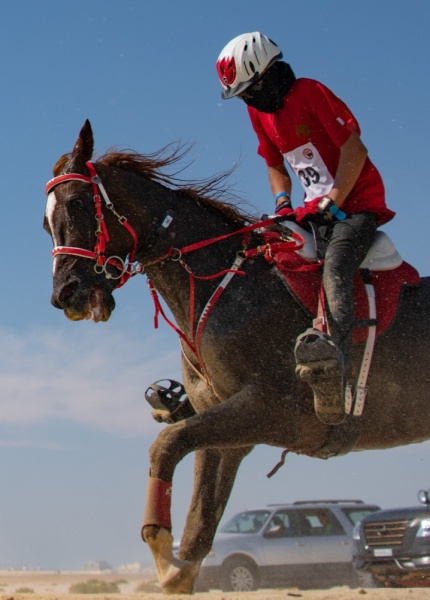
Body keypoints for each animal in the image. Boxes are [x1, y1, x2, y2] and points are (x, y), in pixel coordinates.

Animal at [43, 119, 430, 592]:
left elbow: (164, 446)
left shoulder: (271, 412)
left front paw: (161, 546)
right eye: (45, 225)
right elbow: (195, 535)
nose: (66, 295)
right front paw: (173, 565)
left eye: (78, 202)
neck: (223, 286)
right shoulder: (227, 434)